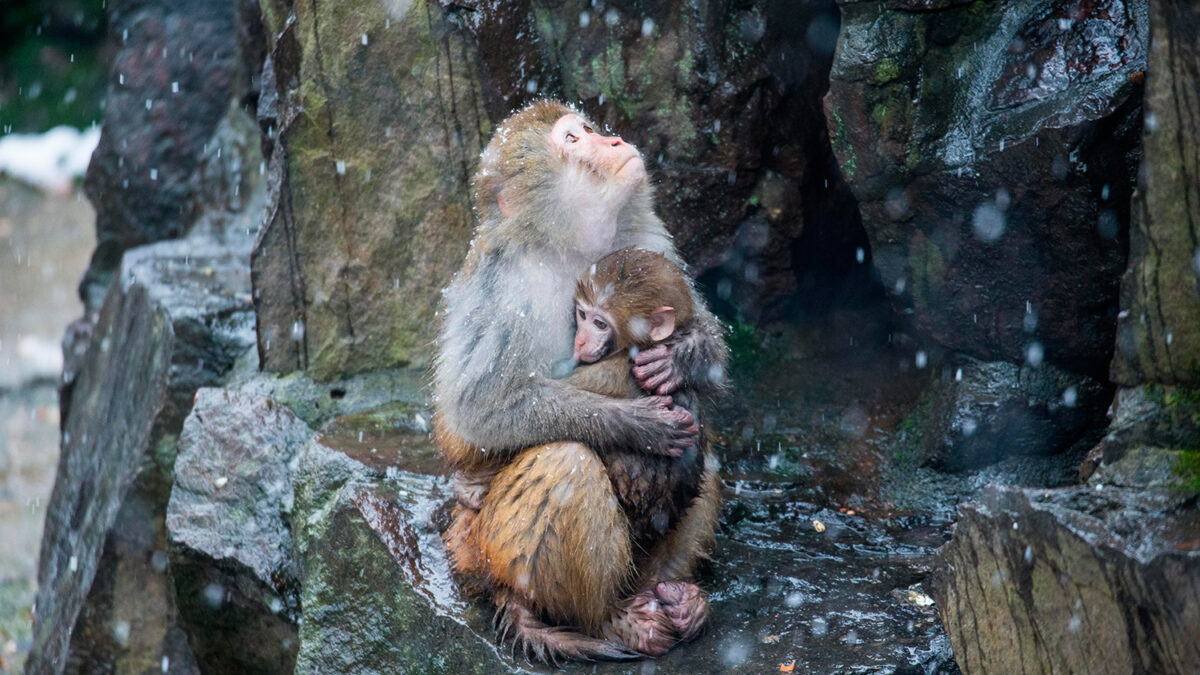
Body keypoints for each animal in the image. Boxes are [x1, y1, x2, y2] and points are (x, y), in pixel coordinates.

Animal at [436, 99, 724, 658]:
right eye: (573, 140)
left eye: (588, 129)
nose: (612, 141)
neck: (567, 246)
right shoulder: (510, 291)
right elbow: (478, 413)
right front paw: (637, 426)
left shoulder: (647, 239)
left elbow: (703, 343)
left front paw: (680, 357)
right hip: (487, 547)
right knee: (565, 462)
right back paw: (607, 621)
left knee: (707, 448)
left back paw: (673, 599)